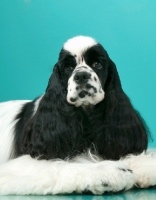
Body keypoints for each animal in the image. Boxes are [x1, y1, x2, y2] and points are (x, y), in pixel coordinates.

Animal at [0, 35, 156, 195]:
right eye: (68, 67)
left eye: (97, 64)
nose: (81, 75)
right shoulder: (23, 163)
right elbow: (59, 165)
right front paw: (110, 172)